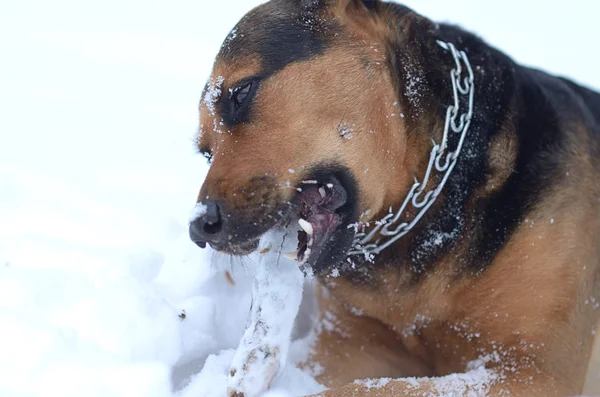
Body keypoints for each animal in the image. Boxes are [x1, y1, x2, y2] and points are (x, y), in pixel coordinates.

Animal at [190, 1, 600, 394]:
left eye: (241, 93)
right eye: (205, 153)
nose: (199, 228)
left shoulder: (532, 371)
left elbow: (363, 391)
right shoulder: (348, 345)